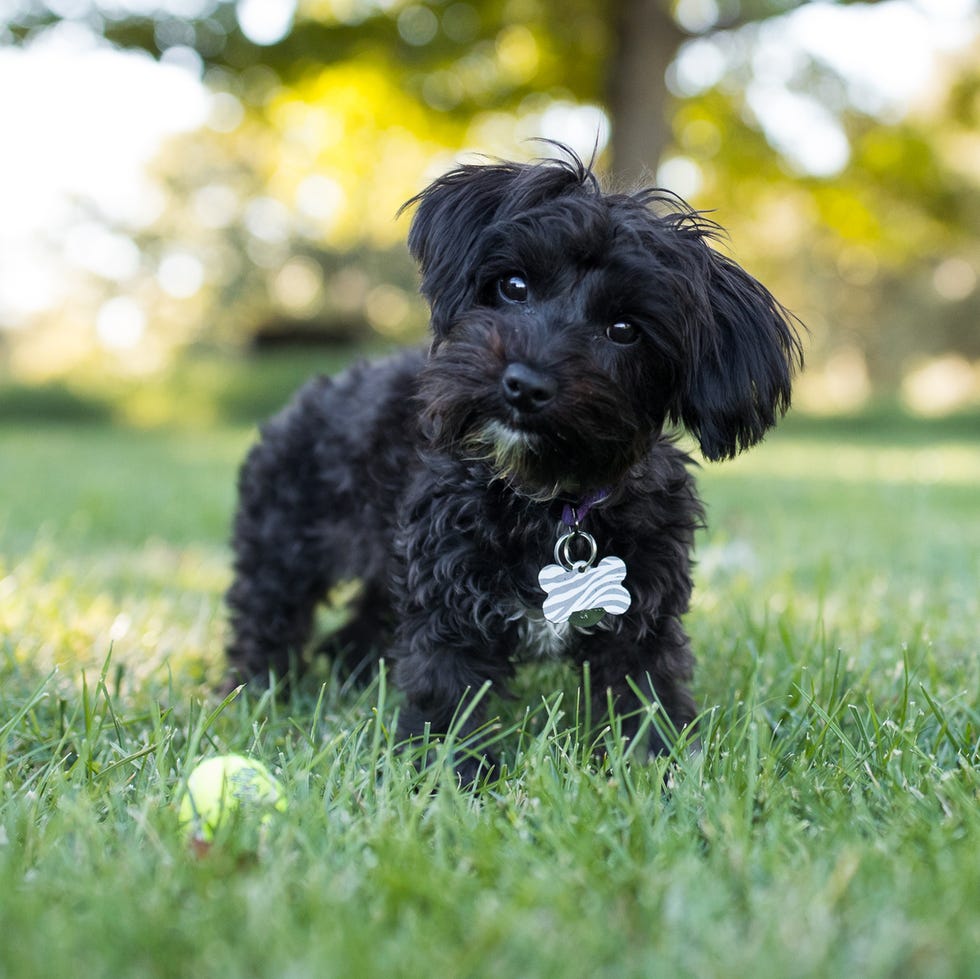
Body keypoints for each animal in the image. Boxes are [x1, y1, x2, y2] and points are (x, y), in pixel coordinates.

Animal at [224, 149, 804, 780]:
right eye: (514, 285)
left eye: (624, 329)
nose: (524, 384)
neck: (549, 499)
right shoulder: (448, 604)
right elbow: (446, 693)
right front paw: (447, 776)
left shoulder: (642, 614)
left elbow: (647, 696)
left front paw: (661, 771)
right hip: (286, 547)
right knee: (266, 616)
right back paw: (253, 693)